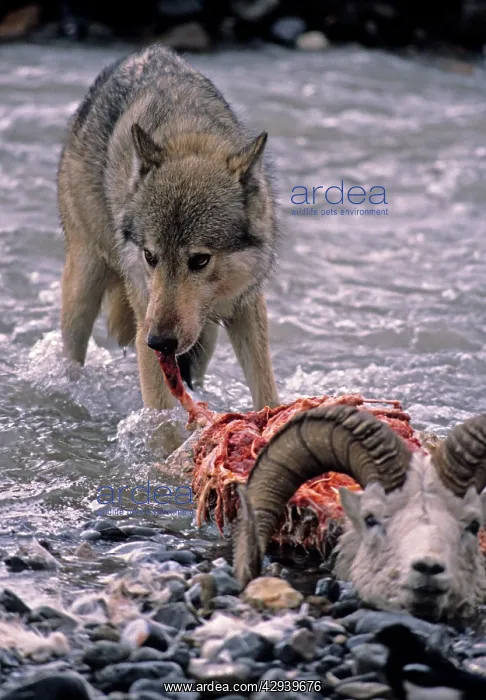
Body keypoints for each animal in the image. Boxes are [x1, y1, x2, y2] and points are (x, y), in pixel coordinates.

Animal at [58, 43, 280, 413]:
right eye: (151, 256)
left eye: (200, 260)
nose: (160, 342)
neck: (188, 135)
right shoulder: (145, 326)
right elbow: (161, 417)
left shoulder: (247, 305)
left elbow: (266, 390)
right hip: (84, 286)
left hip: (205, 339)